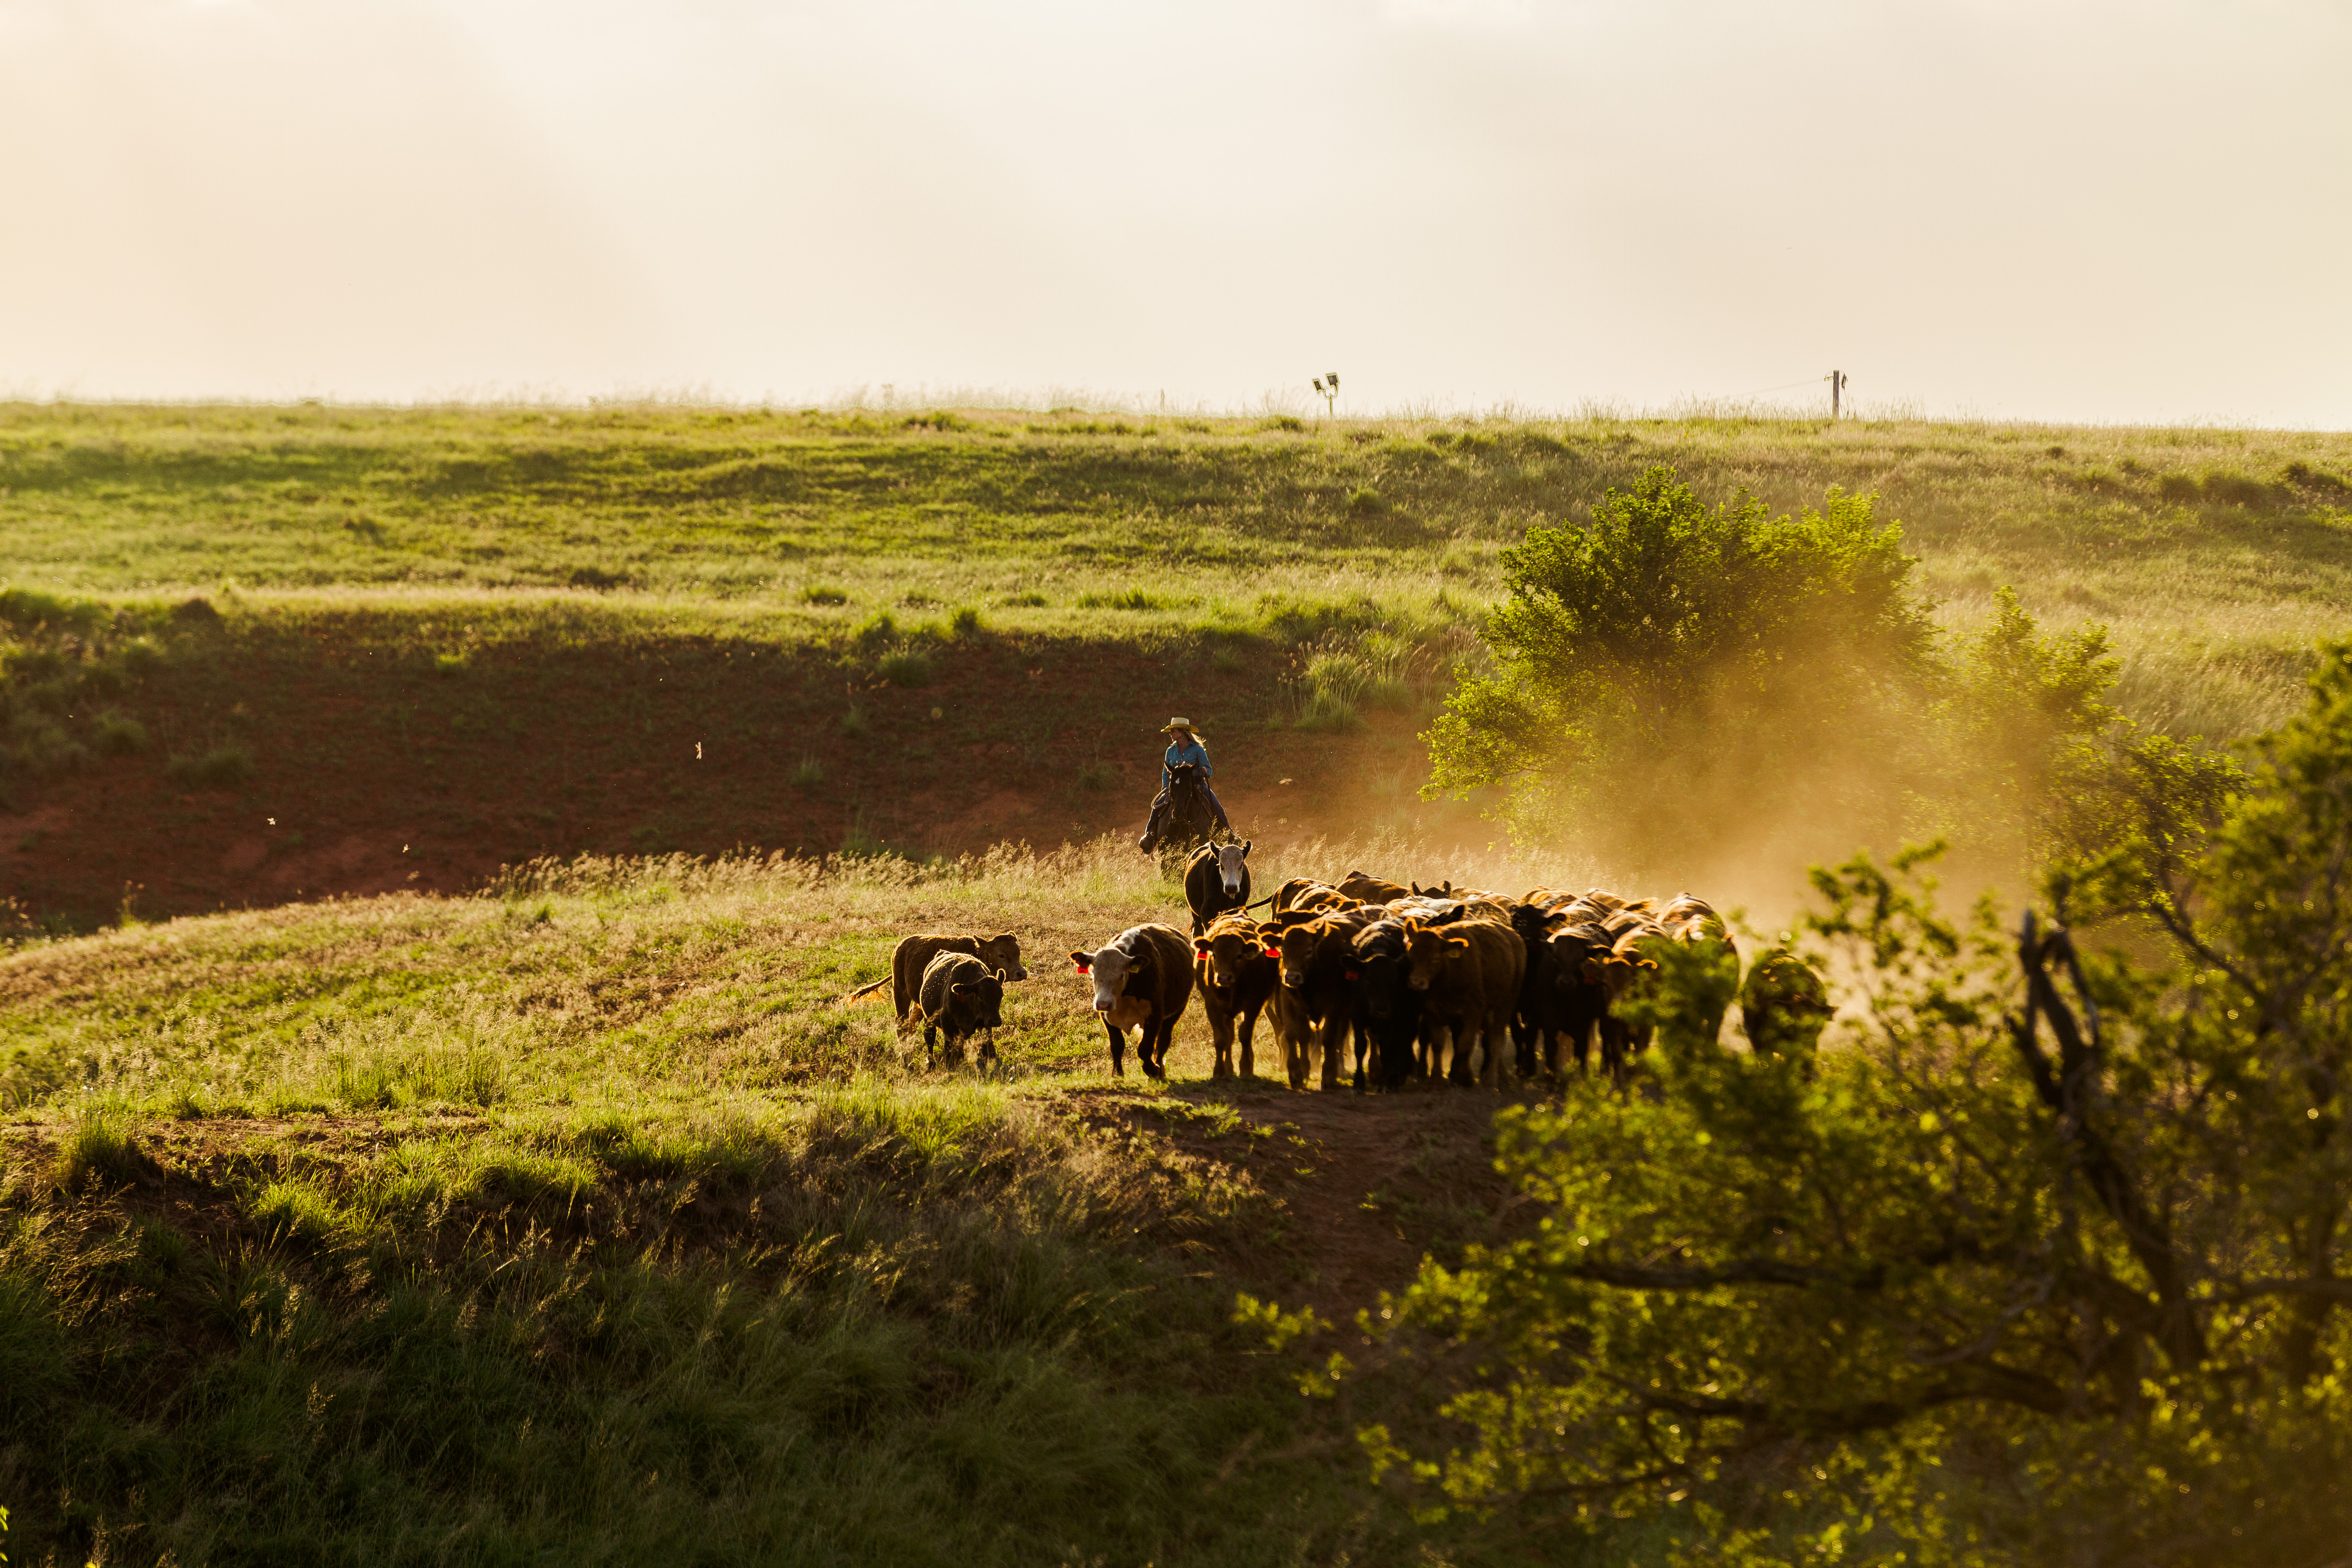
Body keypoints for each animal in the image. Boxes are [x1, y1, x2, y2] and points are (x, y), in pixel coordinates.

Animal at [846, 931, 1030, 1029]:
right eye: (1002, 955)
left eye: (1018, 953)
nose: (1021, 973)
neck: (978, 952)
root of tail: (901, 947)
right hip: (900, 993)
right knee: (902, 1024)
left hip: (918, 1003)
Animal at [908, 949, 1002, 1072]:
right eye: (981, 997)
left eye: (1001, 996)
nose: (996, 1021)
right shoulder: (948, 1025)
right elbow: (948, 1049)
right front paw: (949, 1068)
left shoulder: (984, 1024)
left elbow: (984, 1045)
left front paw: (981, 1066)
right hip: (928, 1019)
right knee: (930, 1038)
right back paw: (931, 1063)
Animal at [1077, 921, 1204, 1081]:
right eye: (1094, 974)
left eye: (1121, 975)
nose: (1103, 1004)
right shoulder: (1106, 1017)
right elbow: (1117, 1045)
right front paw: (1117, 1074)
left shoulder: (1155, 1016)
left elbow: (1145, 1048)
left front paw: (1153, 1071)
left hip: (1175, 1013)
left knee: (1163, 1042)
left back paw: (1160, 1069)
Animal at [1195, 907, 1289, 1081]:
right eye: (1214, 955)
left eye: (1239, 956)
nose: (1224, 977)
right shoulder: (1212, 1006)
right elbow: (1221, 1038)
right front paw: (1219, 1071)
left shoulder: (1253, 1004)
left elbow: (1245, 1035)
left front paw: (1246, 1068)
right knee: (1230, 1035)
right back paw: (1229, 1068)